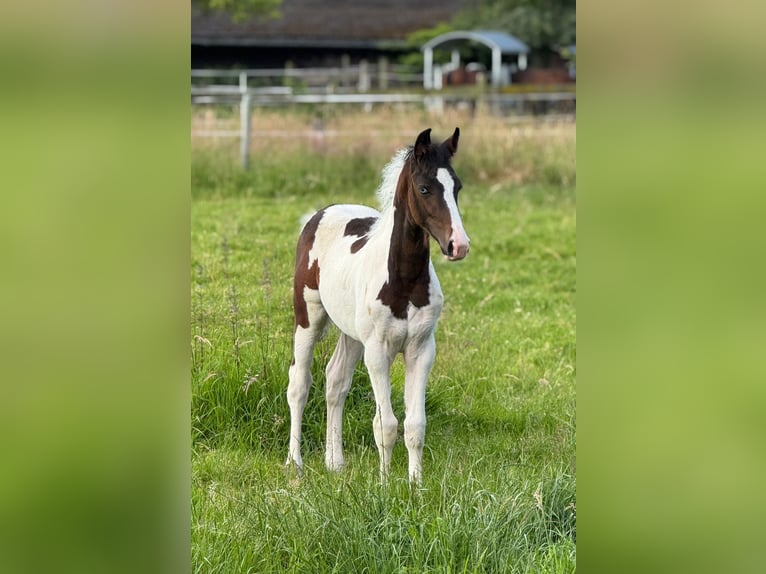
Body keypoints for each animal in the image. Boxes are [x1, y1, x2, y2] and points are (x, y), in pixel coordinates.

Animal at [285, 127, 470, 483]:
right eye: (424, 188)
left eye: (457, 187)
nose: (459, 245)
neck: (405, 280)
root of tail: (319, 214)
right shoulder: (378, 351)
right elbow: (386, 425)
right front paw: (384, 484)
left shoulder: (421, 350)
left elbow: (415, 425)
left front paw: (415, 485)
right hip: (308, 317)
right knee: (299, 384)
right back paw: (294, 463)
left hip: (351, 334)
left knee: (336, 381)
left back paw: (335, 463)